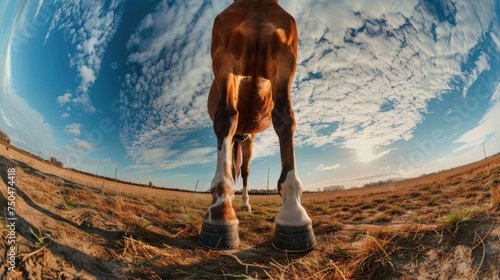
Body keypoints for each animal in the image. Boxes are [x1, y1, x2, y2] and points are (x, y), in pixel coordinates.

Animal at [199, 0, 316, 253]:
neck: (257, 4)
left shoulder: (284, 57)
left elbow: (284, 118)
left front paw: (293, 213)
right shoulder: (226, 57)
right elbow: (225, 117)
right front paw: (221, 211)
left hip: (248, 140)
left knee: (244, 171)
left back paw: (245, 204)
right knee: (232, 161)